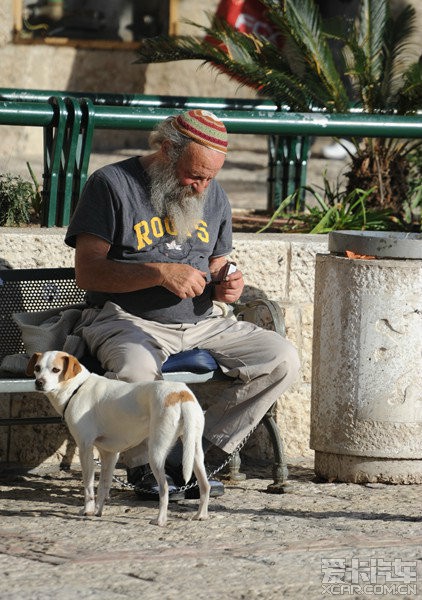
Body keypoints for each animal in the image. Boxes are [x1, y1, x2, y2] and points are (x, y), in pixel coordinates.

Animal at [26, 350, 211, 528]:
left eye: (56, 370)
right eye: (37, 368)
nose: (39, 382)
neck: (76, 389)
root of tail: (181, 393)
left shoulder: (85, 449)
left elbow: (88, 487)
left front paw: (87, 510)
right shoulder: (109, 454)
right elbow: (103, 485)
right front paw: (98, 511)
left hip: (156, 453)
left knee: (164, 488)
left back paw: (160, 520)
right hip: (194, 452)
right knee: (205, 485)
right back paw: (201, 515)